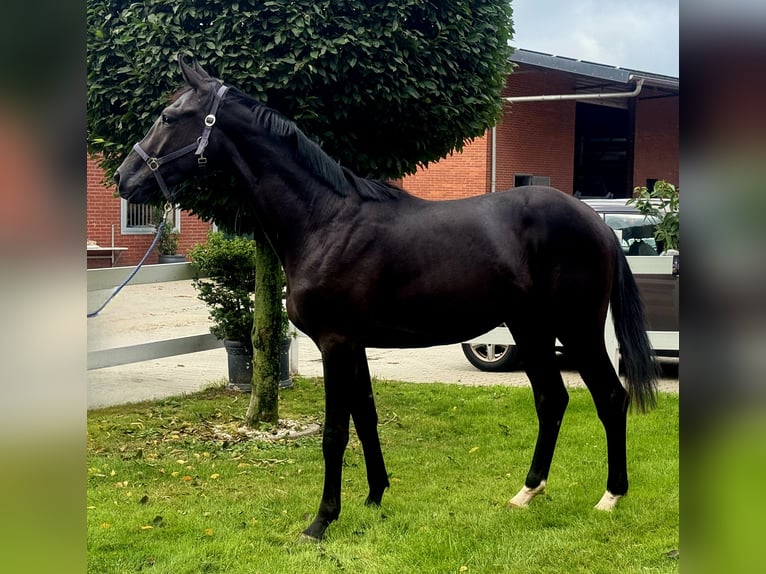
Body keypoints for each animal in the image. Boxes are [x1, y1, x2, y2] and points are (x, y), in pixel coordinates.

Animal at [114, 57, 657, 541]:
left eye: (169, 117)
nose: (124, 178)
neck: (324, 221)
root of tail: (598, 225)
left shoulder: (335, 343)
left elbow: (335, 432)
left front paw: (321, 522)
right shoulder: (354, 344)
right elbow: (366, 417)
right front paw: (375, 496)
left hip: (578, 330)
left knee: (610, 397)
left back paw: (611, 497)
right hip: (530, 329)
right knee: (552, 399)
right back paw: (528, 492)